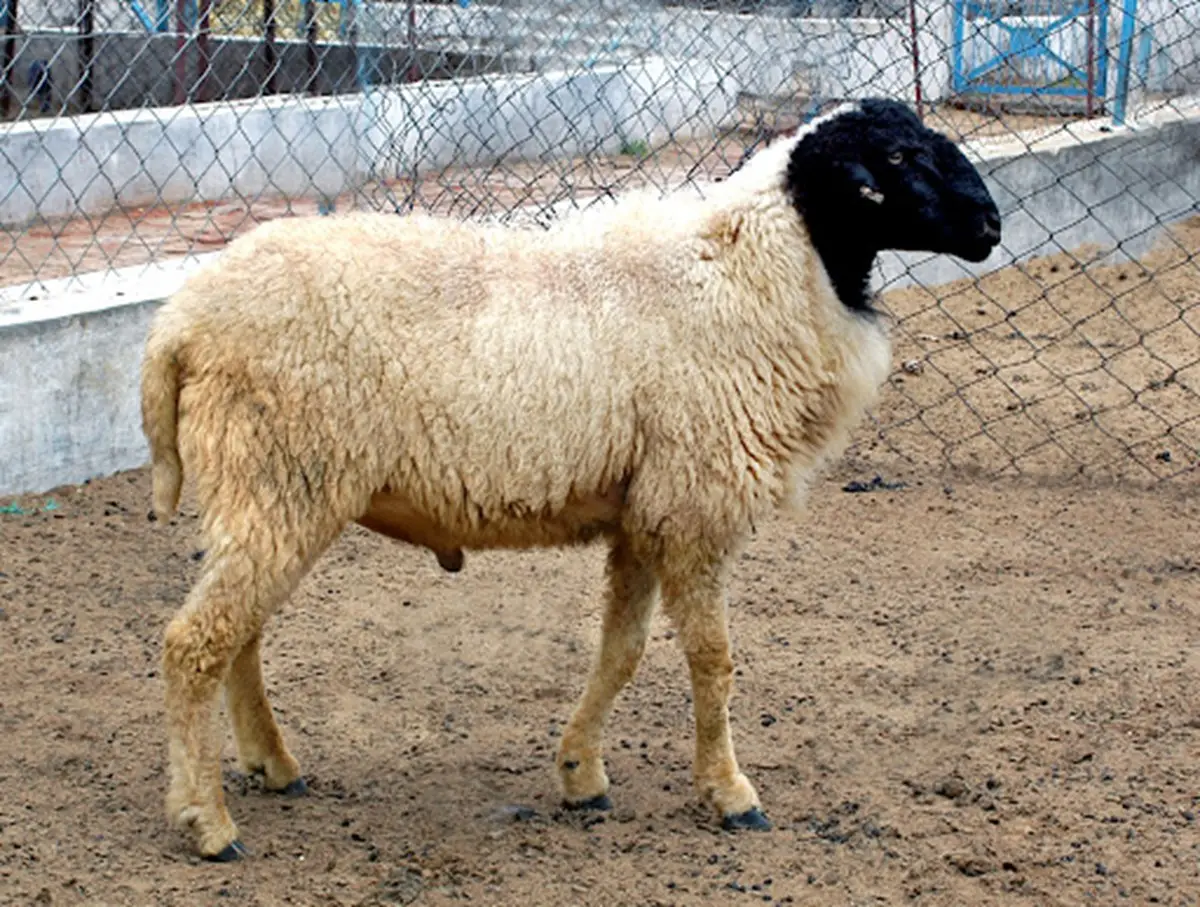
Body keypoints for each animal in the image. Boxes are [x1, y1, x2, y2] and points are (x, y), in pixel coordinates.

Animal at [140, 97, 1001, 860]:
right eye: (897, 158)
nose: (992, 226)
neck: (756, 268)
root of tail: (178, 322)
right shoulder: (694, 506)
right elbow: (713, 659)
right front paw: (729, 793)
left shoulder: (645, 511)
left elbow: (620, 652)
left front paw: (581, 774)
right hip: (281, 477)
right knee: (194, 642)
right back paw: (206, 822)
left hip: (266, 489)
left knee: (239, 633)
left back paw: (272, 765)